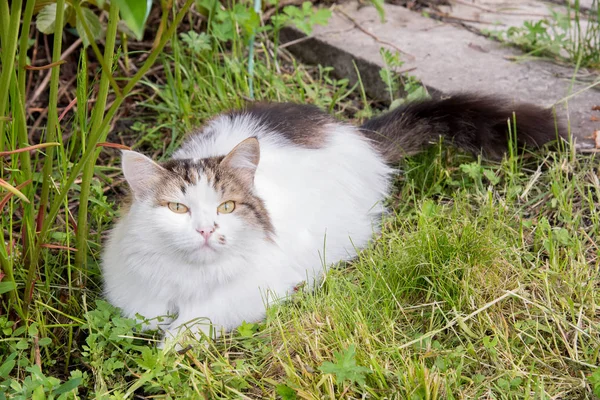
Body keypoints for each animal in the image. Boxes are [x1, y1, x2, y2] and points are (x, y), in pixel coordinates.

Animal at [102, 94, 564, 346]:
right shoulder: (132, 291)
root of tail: (358, 133)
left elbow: (197, 320)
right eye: (178, 209)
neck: (190, 277)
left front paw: (170, 344)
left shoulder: (254, 291)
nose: (206, 229)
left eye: (226, 208)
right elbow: (145, 316)